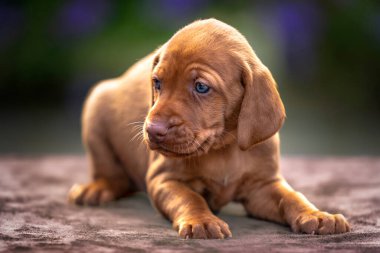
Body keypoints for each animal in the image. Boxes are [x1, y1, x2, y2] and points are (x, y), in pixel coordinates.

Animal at [67, 18, 350, 238]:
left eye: (201, 87)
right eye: (157, 83)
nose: (153, 130)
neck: (223, 147)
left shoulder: (262, 186)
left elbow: (291, 196)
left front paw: (317, 215)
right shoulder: (164, 179)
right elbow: (190, 197)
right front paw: (202, 221)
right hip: (96, 104)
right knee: (112, 173)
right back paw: (97, 188)